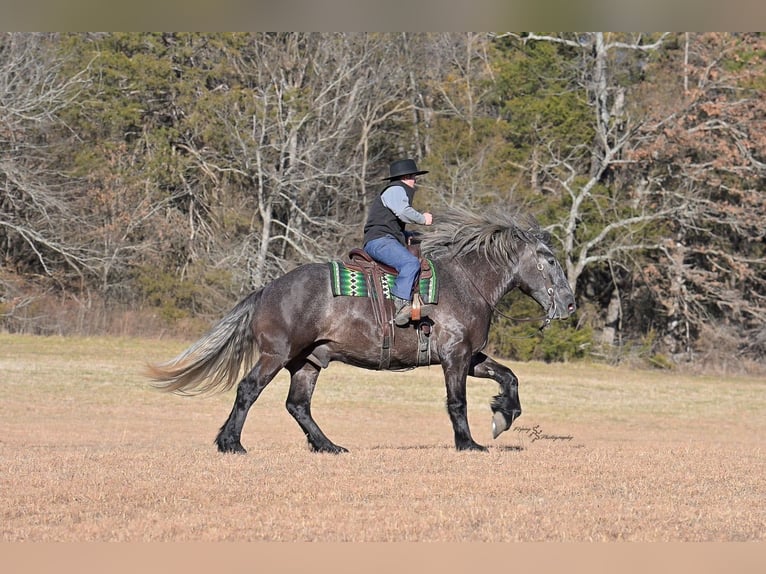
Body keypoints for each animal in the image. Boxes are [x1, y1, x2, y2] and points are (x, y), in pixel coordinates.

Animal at [146, 207, 576, 453]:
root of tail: (267, 289)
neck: (465, 283)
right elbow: (458, 402)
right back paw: (231, 443)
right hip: (276, 355)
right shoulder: (454, 357)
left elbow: (509, 376)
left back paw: (328, 446)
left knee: (297, 405)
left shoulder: (470, 356)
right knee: (249, 390)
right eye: (550, 260)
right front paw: (468, 443)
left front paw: (503, 417)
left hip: (307, 362)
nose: (570, 303)